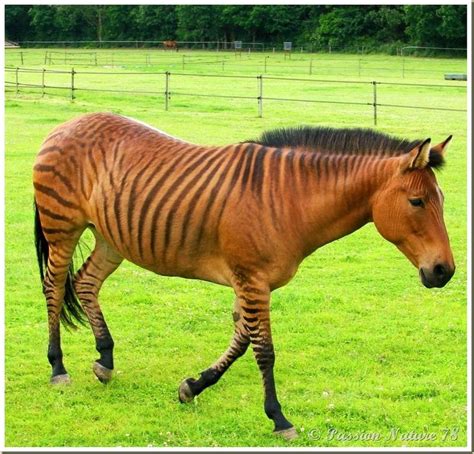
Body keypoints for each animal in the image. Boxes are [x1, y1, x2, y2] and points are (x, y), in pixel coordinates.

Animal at [33, 113, 456, 440]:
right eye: (417, 202)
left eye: (442, 201)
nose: (445, 272)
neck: (291, 199)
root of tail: (67, 123)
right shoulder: (253, 280)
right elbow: (264, 350)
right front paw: (279, 418)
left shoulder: (249, 281)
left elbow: (240, 340)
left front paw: (192, 386)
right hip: (63, 226)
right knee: (54, 287)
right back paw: (57, 367)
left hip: (110, 237)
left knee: (85, 282)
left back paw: (105, 359)